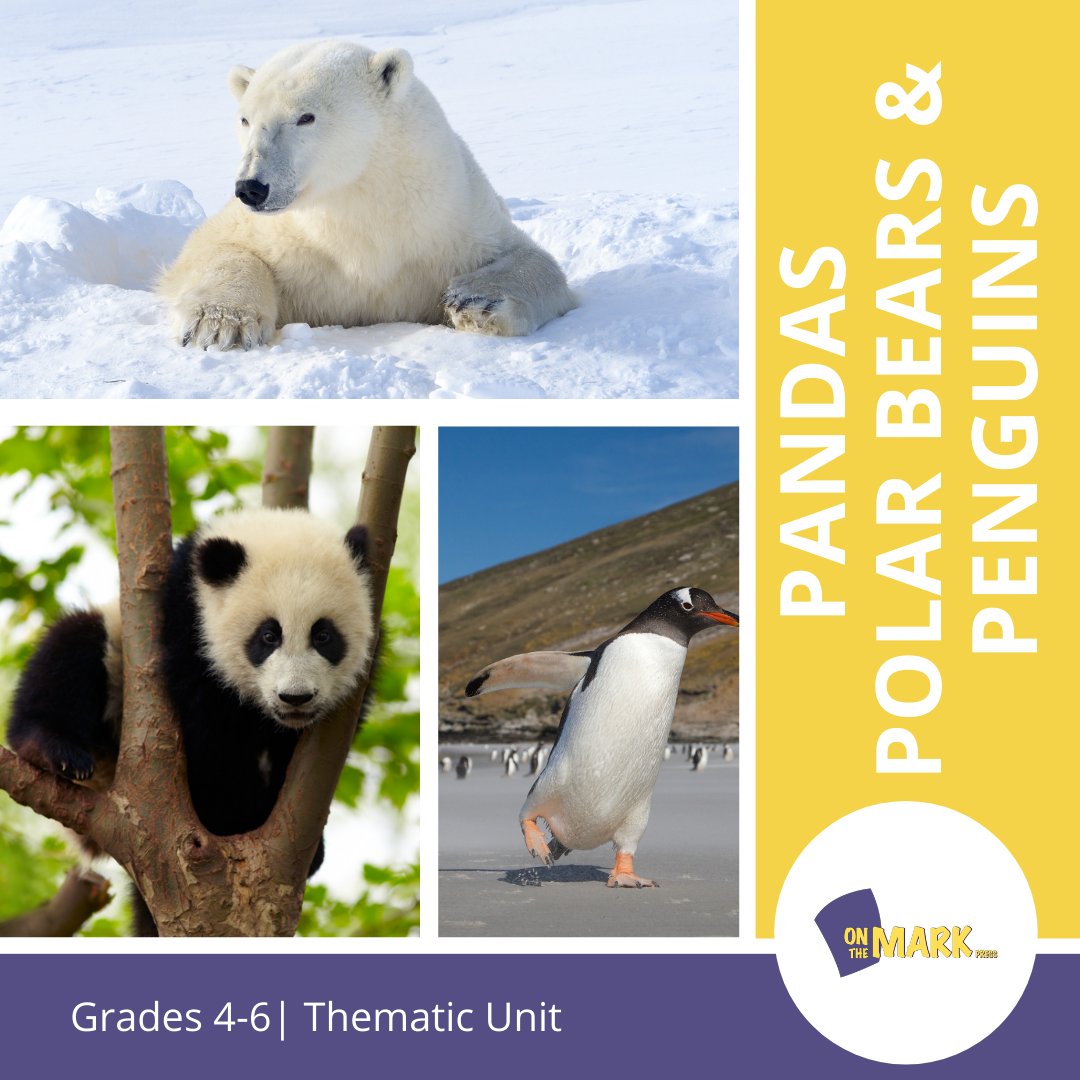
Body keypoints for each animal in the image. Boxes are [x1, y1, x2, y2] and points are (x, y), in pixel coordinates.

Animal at [5, 507, 376, 936]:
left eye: (324, 635)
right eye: (268, 636)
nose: (295, 697)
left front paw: (302, 841)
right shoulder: (186, 625)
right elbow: (210, 740)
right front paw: (235, 819)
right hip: (113, 662)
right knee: (71, 649)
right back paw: (53, 749)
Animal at [157, 39, 577, 350]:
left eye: (306, 117)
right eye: (245, 119)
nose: (251, 187)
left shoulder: (452, 221)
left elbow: (535, 260)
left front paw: (474, 299)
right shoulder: (282, 236)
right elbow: (214, 245)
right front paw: (219, 324)